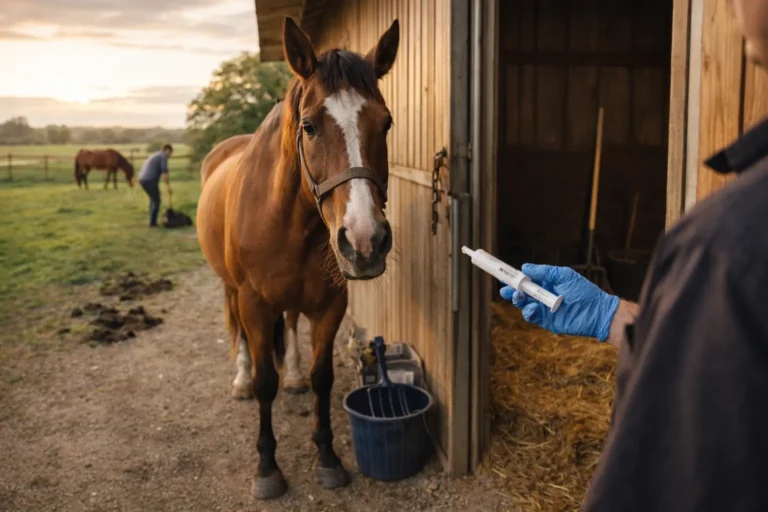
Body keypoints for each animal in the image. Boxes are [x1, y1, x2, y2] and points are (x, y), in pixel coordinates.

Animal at [196, 16, 399, 499]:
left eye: (385, 123)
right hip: (230, 289)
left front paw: (327, 456)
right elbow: (263, 382)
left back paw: (292, 375)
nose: (365, 240)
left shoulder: (331, 305)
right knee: (238, 333)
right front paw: (267, 467)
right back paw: (240, 380)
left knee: (288, 325)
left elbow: (322, 377)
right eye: (308, 126)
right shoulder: (253, 303)